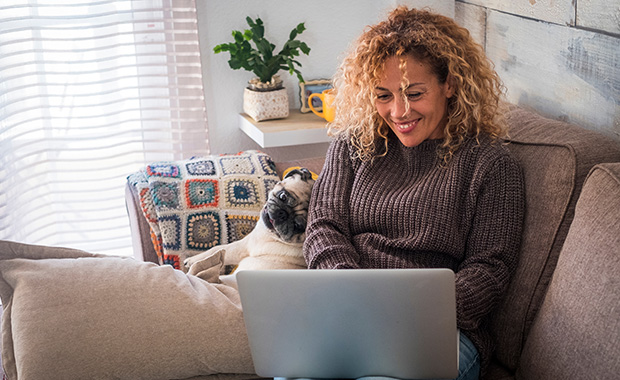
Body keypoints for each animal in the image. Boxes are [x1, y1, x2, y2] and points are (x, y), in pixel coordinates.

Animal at [184, 168, 314, 274]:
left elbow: (216, 250)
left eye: (298, 226)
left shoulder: (242, 247)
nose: (282, 214)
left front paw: (191, 261)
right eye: (283, 196)